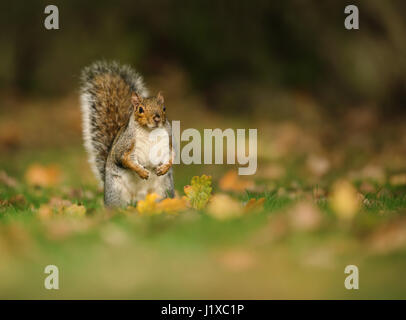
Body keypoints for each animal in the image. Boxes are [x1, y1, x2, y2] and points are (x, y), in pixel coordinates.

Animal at [80, 61, 174, 208]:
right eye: (140, 109)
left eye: (164, 108)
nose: (157, 118)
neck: (149, 131)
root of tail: (138, 201)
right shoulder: (125, 144)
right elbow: (124, 159)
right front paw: (141, 171)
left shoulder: (167, 141)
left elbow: (171, 156)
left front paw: (164, 168)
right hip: (116, 192)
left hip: (163, 191)